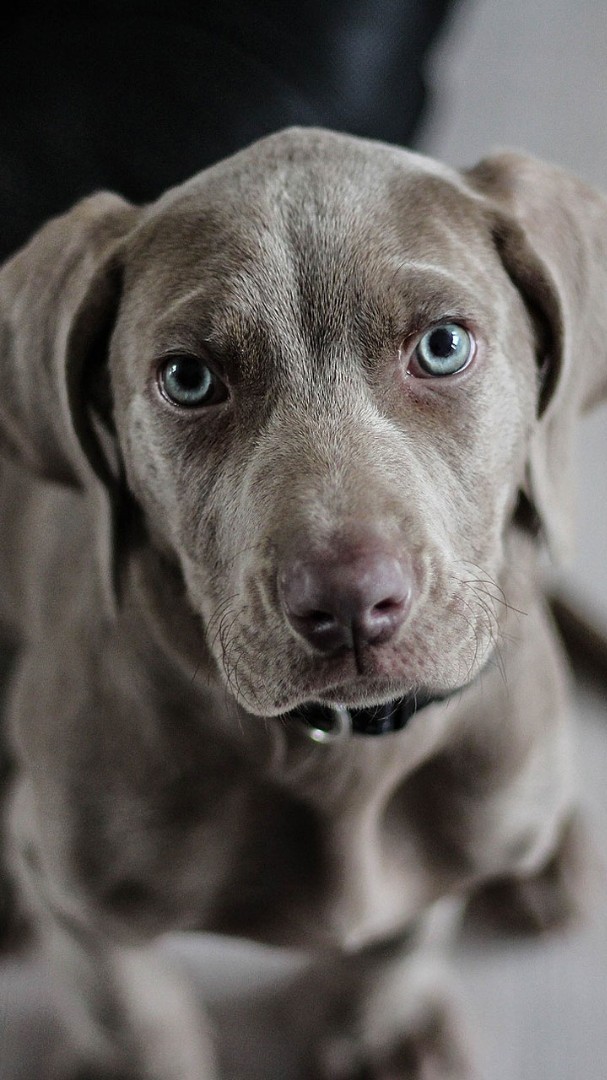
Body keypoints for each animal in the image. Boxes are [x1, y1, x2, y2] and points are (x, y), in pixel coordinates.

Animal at [0, 126, 604, 1079]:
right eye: (188, 378)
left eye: (442, 346)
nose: (350, 603)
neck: (338, 754)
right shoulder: (68, 881)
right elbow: (125, 1005)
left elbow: (405, 931)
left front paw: (378, 1029)